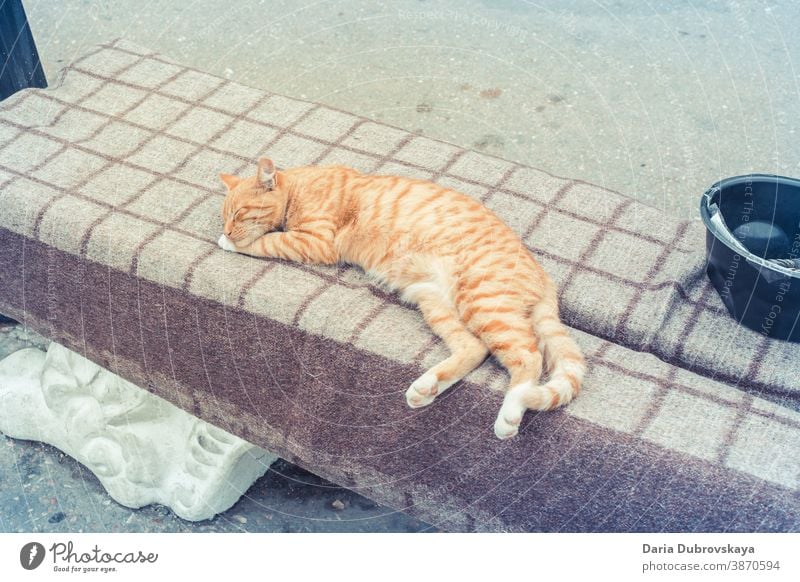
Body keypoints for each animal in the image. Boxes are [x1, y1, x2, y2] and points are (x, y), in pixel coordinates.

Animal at [219, 157, 588, 440]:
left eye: (239, 213)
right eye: (225, 215)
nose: (225, 229)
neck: (299, 185)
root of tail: (545, 277)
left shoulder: (315, 241)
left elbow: (268, 242)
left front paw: (230, 243)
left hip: (483, 301)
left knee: (528, 358)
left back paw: (510, 413)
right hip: (437, 303)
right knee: (475, 348)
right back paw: (425, 389)